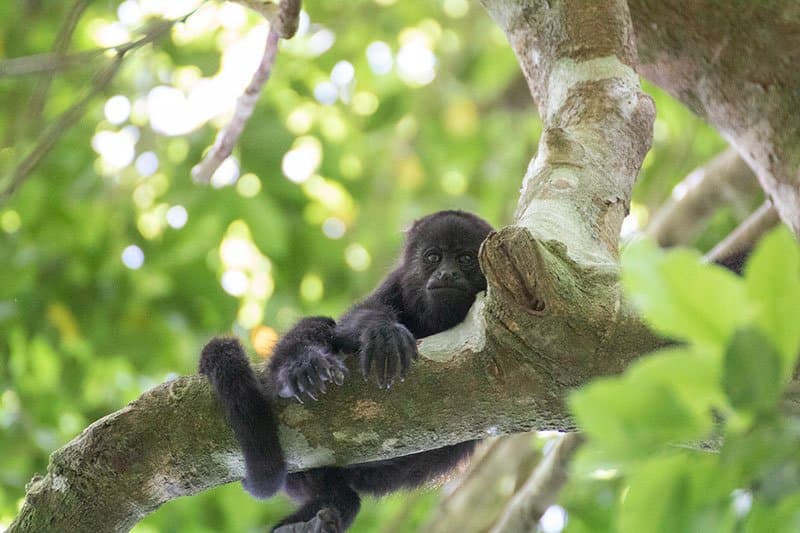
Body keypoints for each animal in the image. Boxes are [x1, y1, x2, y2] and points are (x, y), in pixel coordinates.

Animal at [199, 210, 494, 532]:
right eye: (433, 257)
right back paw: (302, 366)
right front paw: (383, 332)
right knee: (318, 325)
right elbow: (351, 323)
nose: (446, 274)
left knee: (343, 499)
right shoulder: (395, 284)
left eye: (465, 259)